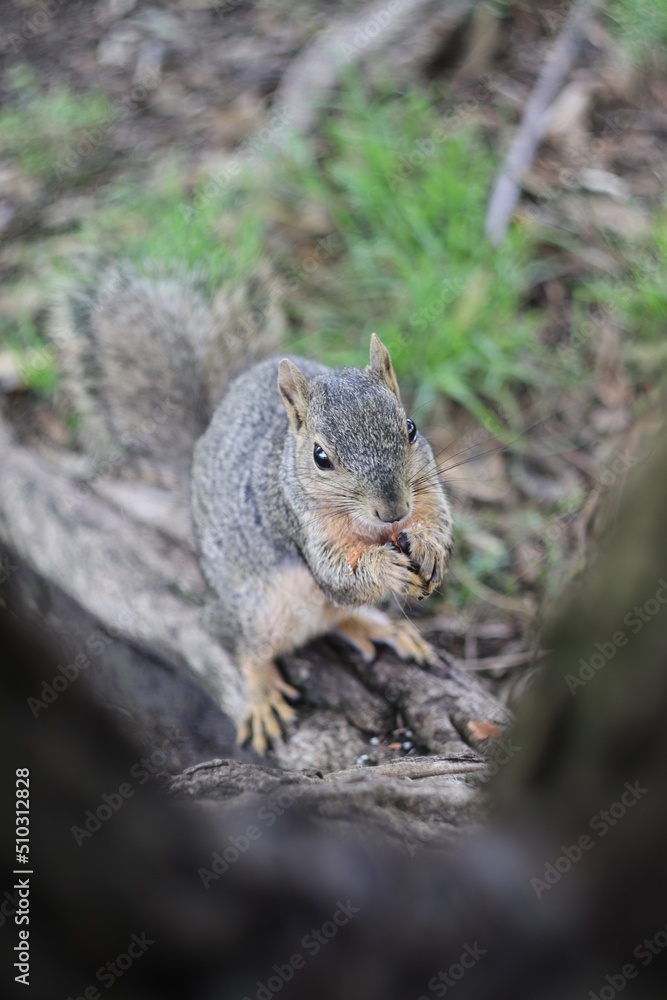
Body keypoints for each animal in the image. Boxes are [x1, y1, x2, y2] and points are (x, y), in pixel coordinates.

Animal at [52, 265, 453, 753]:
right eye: (321, 457)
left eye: (410, 427)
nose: (393, 510)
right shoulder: (298, 522)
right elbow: (338, 576)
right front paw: (387, 568)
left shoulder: (427, 486)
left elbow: (438, 517)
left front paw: (431, 549)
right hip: (254, 608)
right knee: (239, 642)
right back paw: (262, 693)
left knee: (339, 617)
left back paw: (383, 628)